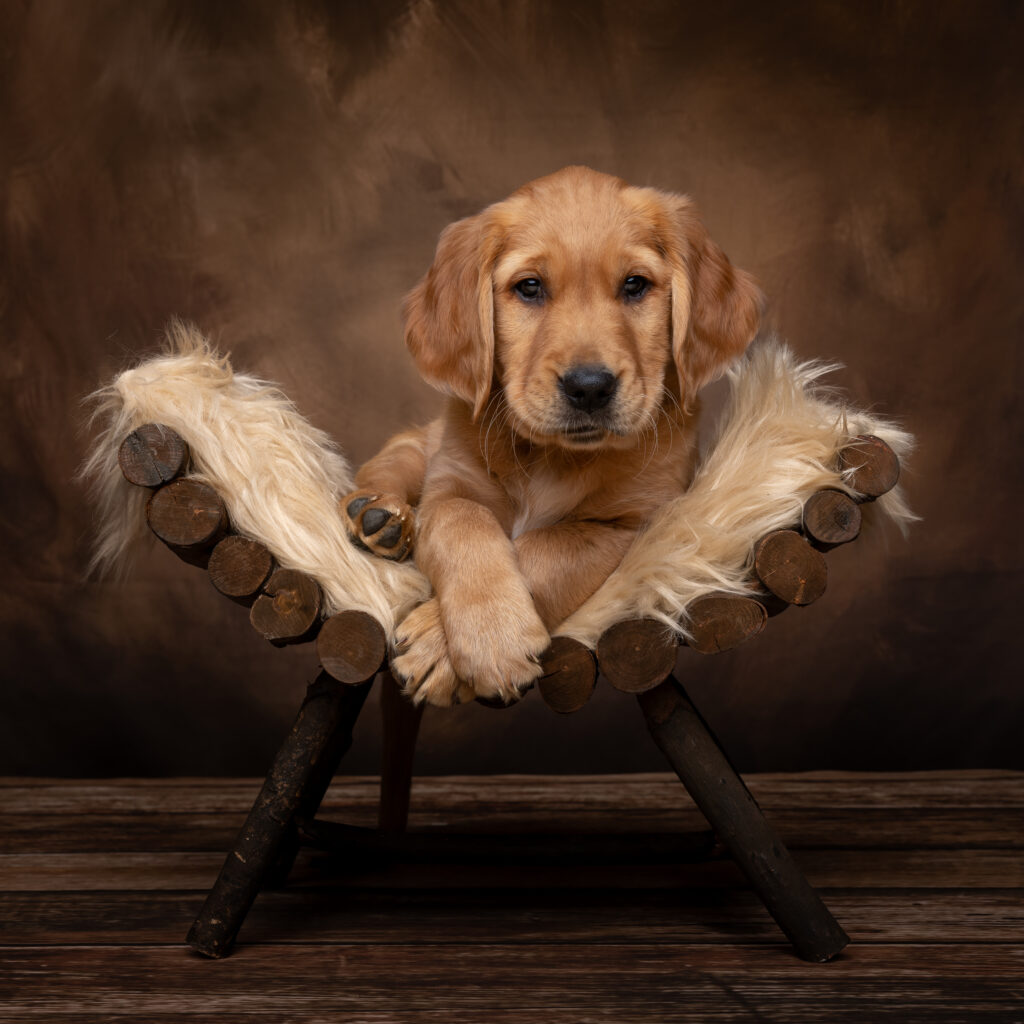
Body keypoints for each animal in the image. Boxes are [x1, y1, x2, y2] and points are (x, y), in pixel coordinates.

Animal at [344, 165, 761, 704]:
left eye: (635, 285)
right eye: (529, 288)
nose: (589, 387)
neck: (553, 456)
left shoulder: (629, 525)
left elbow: (547, 549)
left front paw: (454, 643)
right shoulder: (450, 486)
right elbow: (463, 524)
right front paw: (489, 632)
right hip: (416, 449)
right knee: (382, 469)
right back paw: (378, 516)